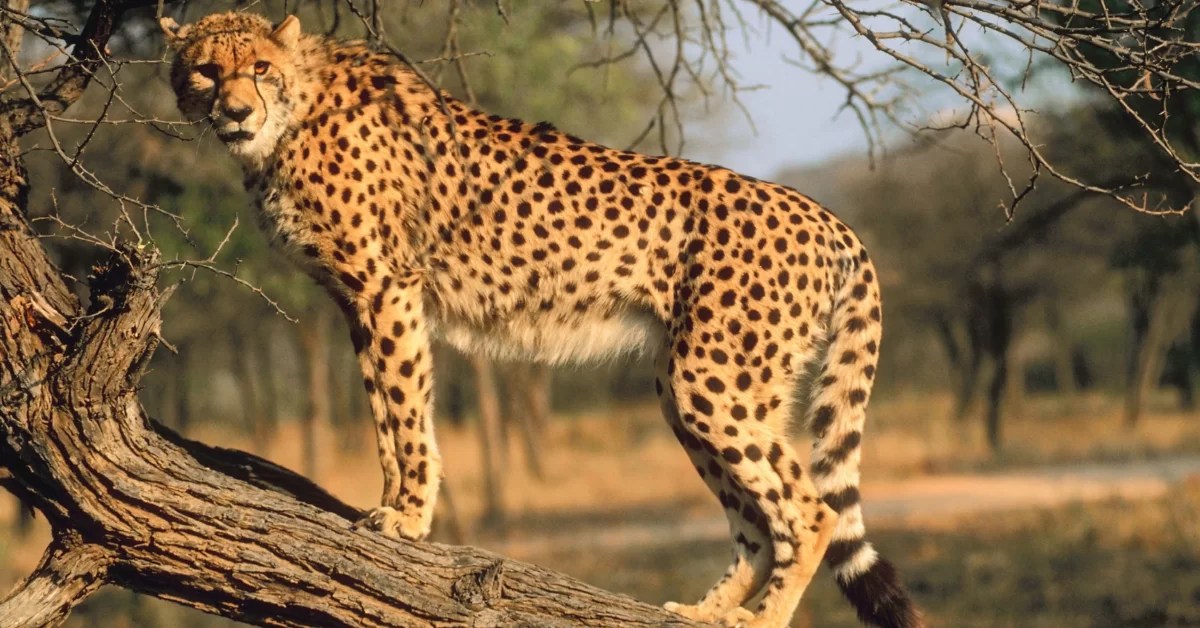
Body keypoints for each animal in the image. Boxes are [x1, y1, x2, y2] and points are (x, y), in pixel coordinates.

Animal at [160, 12, 921, 628]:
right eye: (207, 70)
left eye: (261, 69)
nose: (235, 111)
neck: (292, 116)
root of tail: (828, 216)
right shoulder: (356, 301)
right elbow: (383, 412)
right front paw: (392, 505)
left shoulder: (388, 288)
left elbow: (405, 410)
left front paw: (408, 516)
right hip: (691, 386)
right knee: (758, 524)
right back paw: (705, 612)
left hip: (713, 381)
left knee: (812, 511)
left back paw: (759, 619)